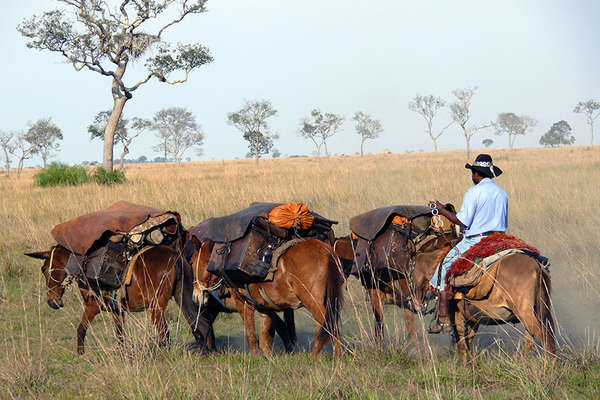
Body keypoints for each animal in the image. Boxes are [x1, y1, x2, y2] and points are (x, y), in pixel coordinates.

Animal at [25, 244, 211, 354]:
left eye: (44, 269)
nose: (52, 302)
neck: (85, 267)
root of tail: (175, 256)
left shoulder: (93, 307)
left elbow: (81, 329)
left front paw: (80, 353)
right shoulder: (117, 311)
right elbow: (120, 336)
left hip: (156, 308)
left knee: (165, 333)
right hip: (183, 298)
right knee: (200, 324)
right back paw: (206, 352)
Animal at [190, 234, 344, 356]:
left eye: (192, 262)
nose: (195, 297)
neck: (224, 260)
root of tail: (326, 250)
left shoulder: (244, 304)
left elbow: (252, 337)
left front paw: (254, 359)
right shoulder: (265, 308)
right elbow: (264, 341)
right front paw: (270, 360)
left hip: (312, 300)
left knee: (327, 325)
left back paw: (323, 357)